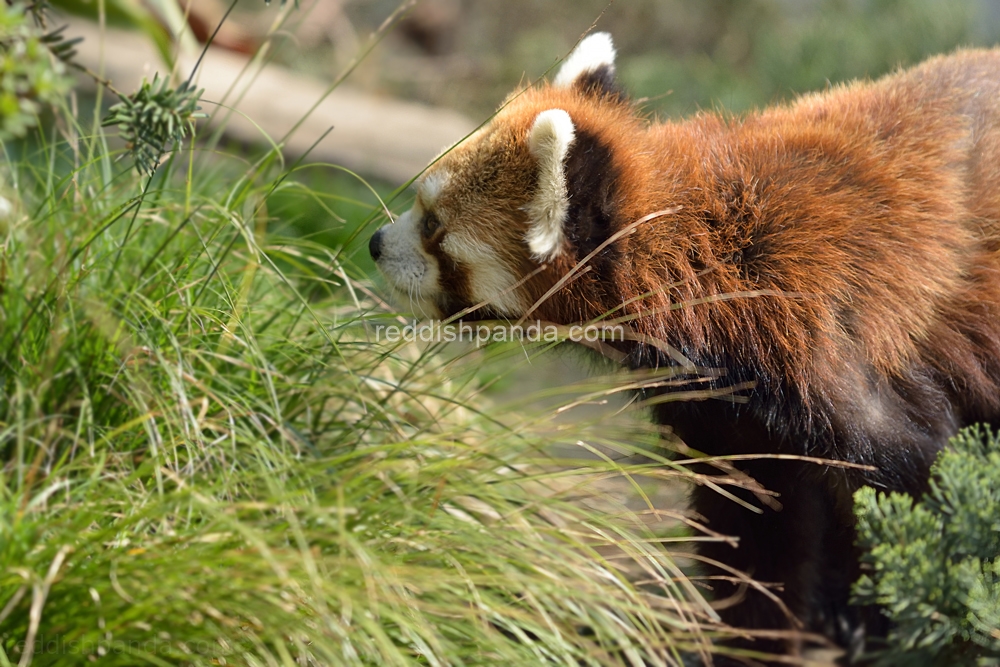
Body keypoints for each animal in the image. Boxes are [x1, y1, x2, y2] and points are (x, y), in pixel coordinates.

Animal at [368, 32, 1000, 664]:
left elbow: (916, 477)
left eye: (433, 226)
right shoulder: (728, 410)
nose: (374, 243)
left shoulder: (838, 352)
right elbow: (755, 530)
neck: (713, 259)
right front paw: (756, 641)